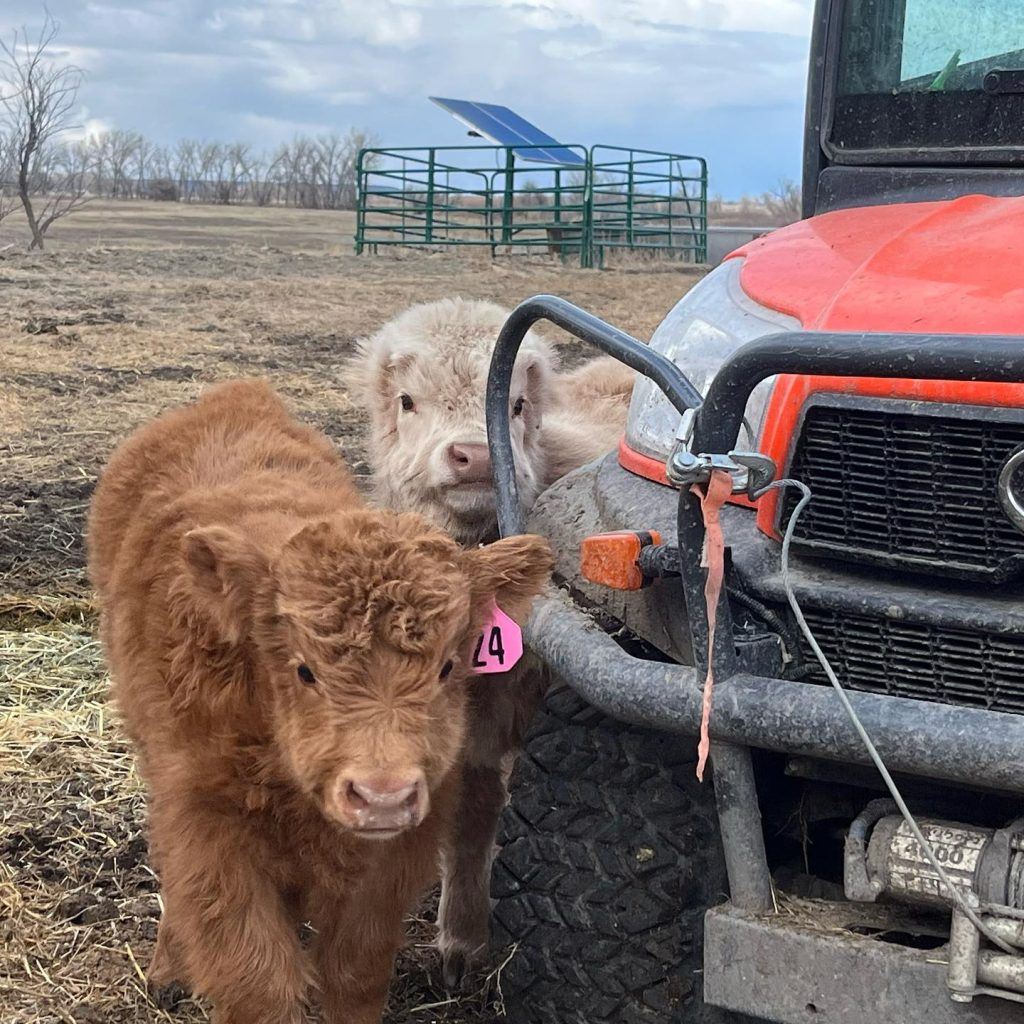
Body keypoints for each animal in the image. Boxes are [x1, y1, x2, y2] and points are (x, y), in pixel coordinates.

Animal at [87, 379, 553, 1024]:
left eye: (446, 667)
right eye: (304, 669)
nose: (382, 795)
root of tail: (234, 396)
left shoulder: (394, 855)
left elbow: (354, 973)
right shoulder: (209, 833)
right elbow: (256, 979)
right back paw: (166, 969)